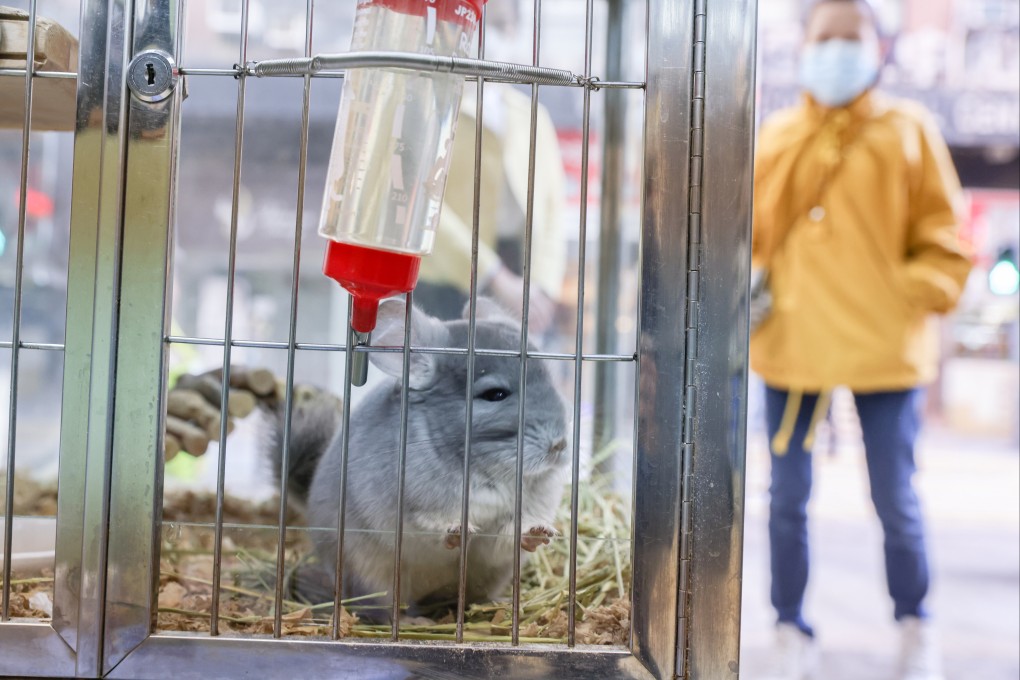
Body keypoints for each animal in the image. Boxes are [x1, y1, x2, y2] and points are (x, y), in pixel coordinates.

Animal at [266, 297, 568, 621]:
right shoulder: (409, 512)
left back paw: (492, 605)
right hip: (370, 576)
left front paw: (539, 532)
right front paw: (457, 531)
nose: (560, 444)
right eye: (495, 394)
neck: (485, 468)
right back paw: (415, 619)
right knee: (380, 610)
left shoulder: (508, 525)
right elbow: (429, 528)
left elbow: (507, 535)